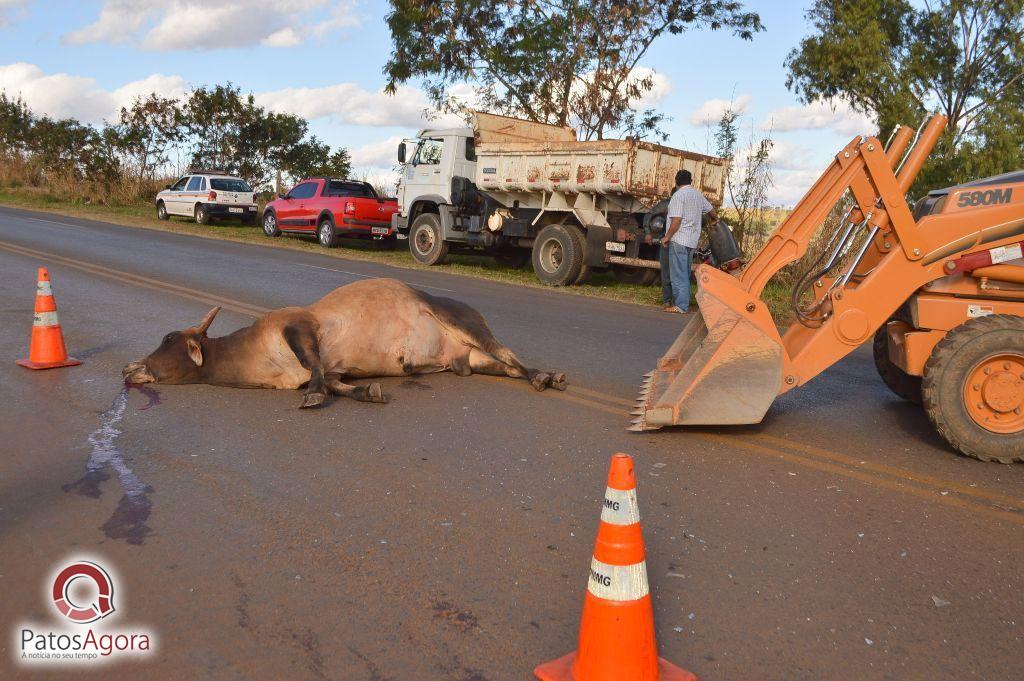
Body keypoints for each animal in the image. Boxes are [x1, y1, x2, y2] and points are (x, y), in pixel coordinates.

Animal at [123, 274, 569, 403]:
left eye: (167, 337)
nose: (128, 369)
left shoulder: (299, 327)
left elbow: (315, 368)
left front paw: (314, 396)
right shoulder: (334, 369)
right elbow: (338, 383)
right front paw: (368, 392)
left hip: (460, 322)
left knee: (508, 353)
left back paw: (545, 377)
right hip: (469, 359)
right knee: (503, 366)